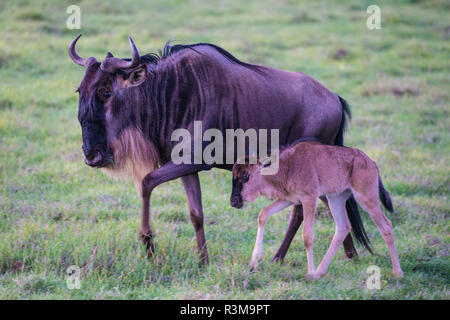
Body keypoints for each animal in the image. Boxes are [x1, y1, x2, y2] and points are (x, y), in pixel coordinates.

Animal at [230, 139, 402, 278]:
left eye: (245, 175)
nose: (233, 201)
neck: (288, 166)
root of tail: (371, 162)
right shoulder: (289, 199)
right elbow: (263, 214)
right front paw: (254, 263)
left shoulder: (309, 199)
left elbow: (307, 236)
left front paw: (310, 273)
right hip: (336, 199)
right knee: (343, 227)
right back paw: (321, 271)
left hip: (366, 199)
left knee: (386, 226)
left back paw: (397, 272)